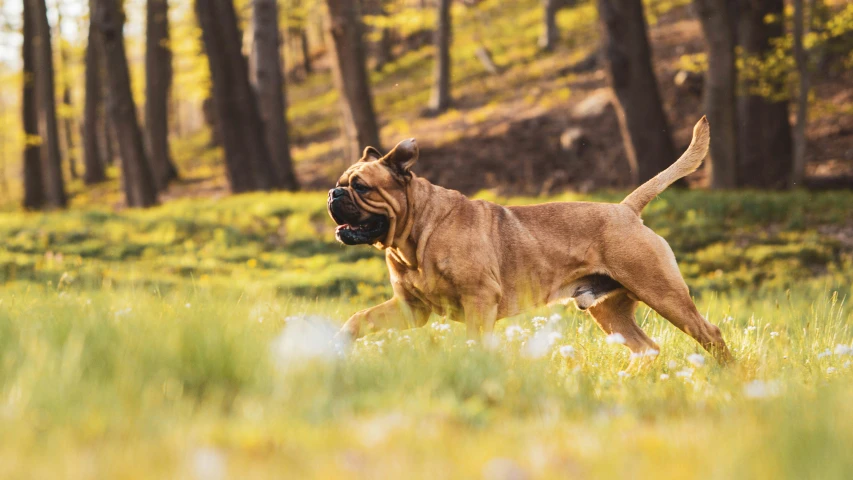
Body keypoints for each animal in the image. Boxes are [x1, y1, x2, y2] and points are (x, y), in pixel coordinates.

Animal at [326, 117, 732, 364]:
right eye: (341, 182)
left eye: (361, 186)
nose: (333, 193)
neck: (416, 234)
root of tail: (626, 209)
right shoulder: (410, 308)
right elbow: (360, 318)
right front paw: (338, 342)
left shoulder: (478, 300)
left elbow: (474, 341)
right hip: (610, 311)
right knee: (646, 348)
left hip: (663, 293)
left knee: (709, 333)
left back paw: (729, 376)